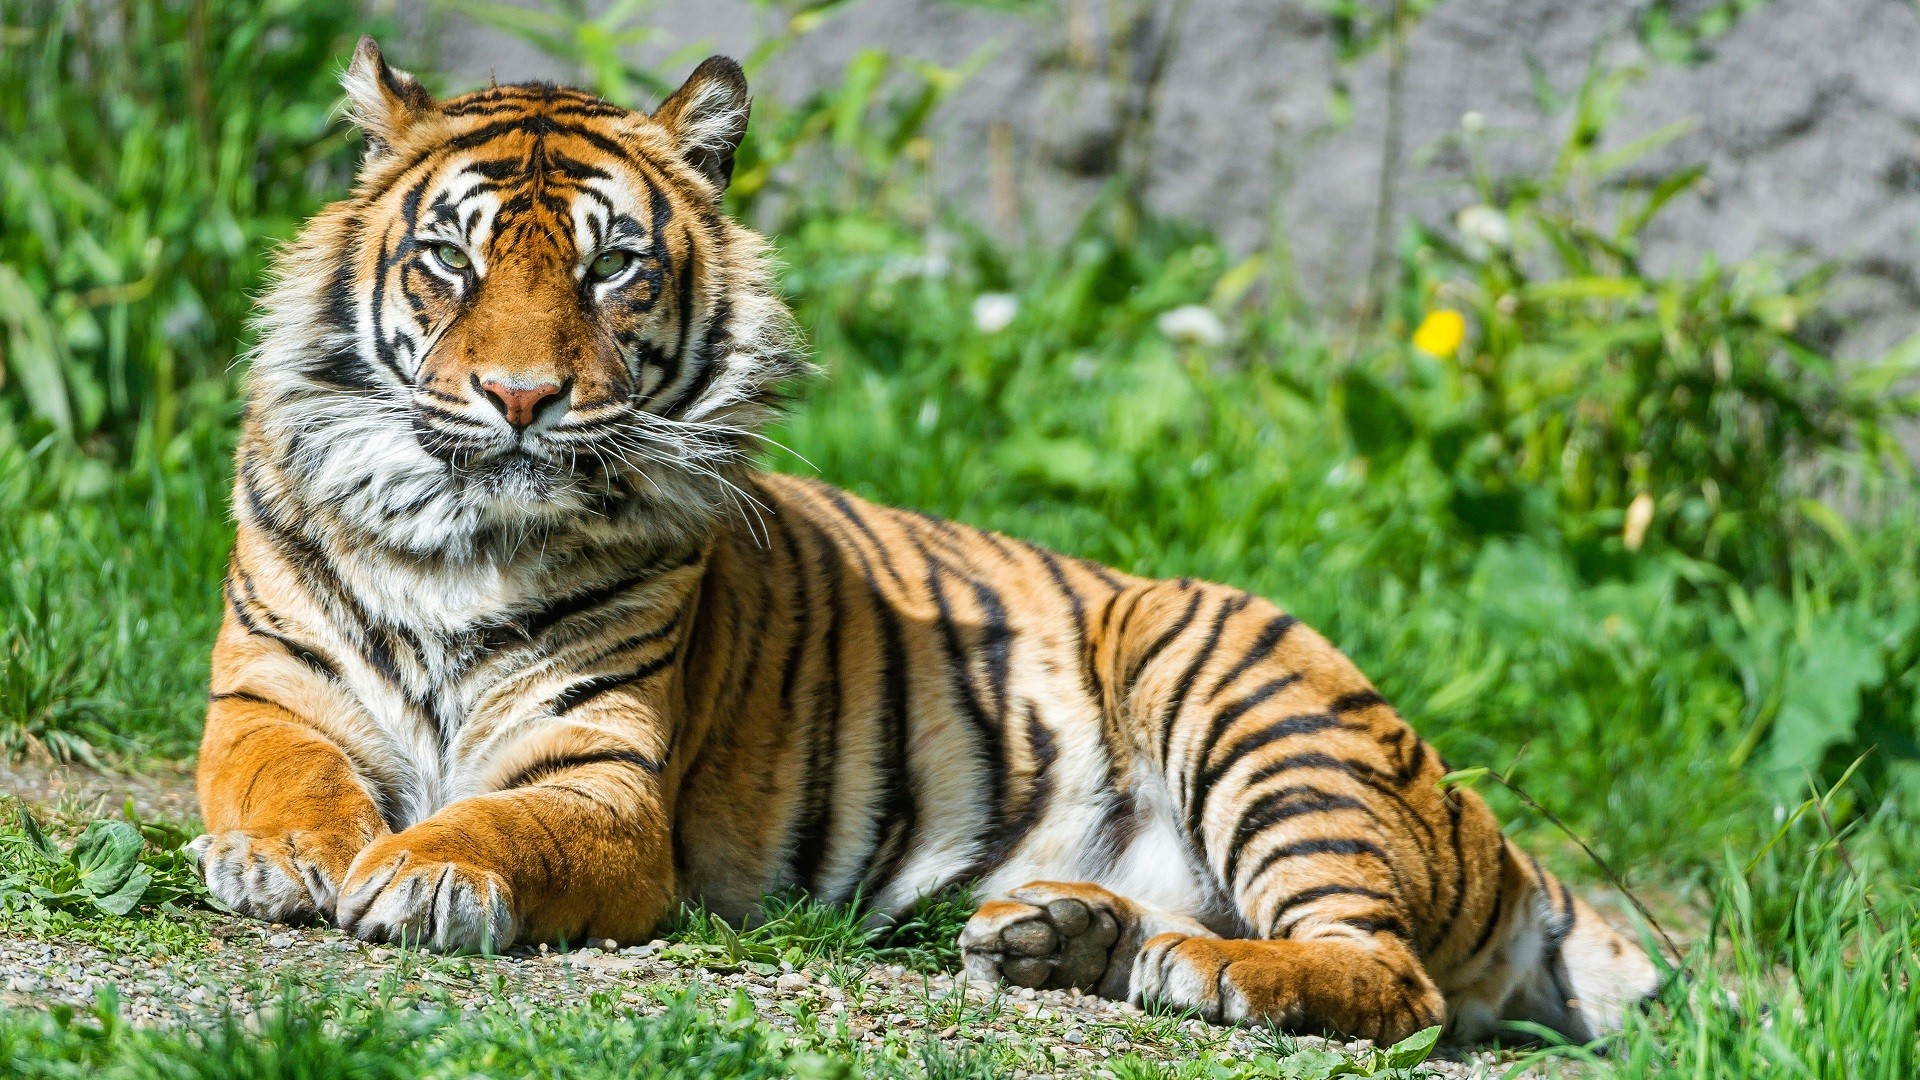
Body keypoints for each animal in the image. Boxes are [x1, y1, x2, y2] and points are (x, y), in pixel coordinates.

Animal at [189, 37, 1660, 1045]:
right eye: (452, 258)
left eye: (613, 268)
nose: (518, 397)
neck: (462, 535)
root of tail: (1487, 828)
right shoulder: (267, 698)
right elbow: (280, 777)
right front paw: (282, 859)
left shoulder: (598, 777)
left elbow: (504, 824)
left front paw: (423, 871)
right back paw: (1058, 938)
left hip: (1251, 701)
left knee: (1395, 979)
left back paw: (1213, 973)